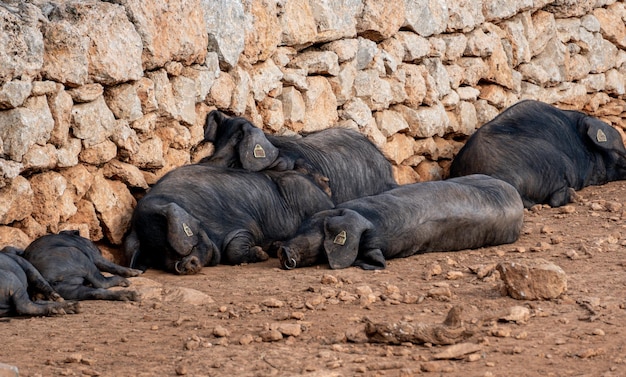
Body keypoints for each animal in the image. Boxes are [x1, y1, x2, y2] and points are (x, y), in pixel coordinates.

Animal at [123, 164, 334, 274]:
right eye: (157, 253)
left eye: (170, 243)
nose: (181, 265)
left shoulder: (244, 225)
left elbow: (234, 248)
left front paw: (261, 254)